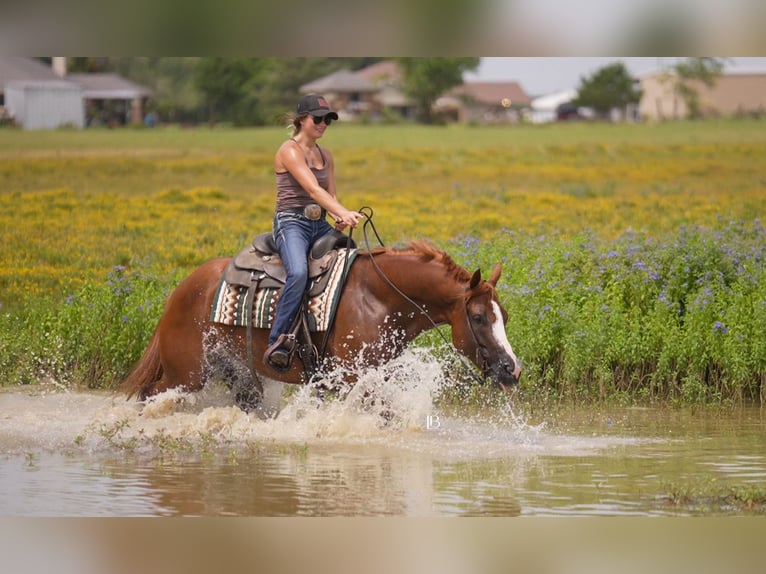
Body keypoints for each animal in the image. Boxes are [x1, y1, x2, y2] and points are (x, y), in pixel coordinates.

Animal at [119, 240, 520, 415]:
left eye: (504, 316)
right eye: (479, 317)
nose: (512, 369)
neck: (378, 298)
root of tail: (181, 289)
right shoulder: (352, 378)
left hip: (233, 372)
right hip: (187, 373)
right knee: (150, 394)